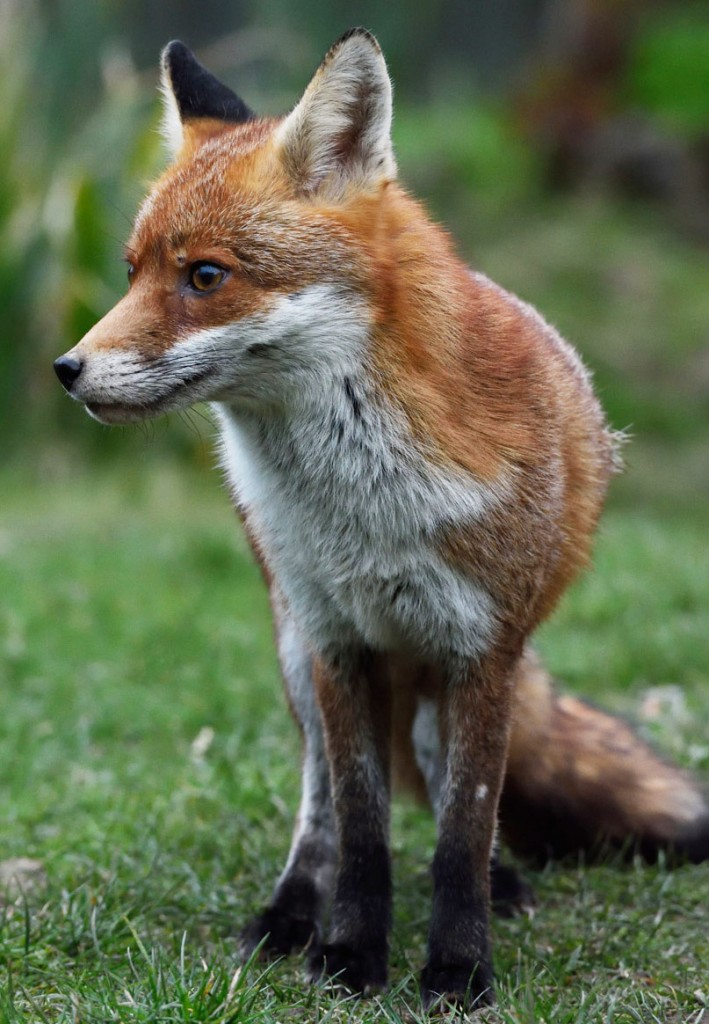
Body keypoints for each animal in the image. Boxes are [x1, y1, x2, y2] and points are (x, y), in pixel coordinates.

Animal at [55, 29, 709, 1007]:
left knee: (445, 784)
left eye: (205, 276)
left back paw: (498, 884)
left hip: (453, 674)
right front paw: (349, 955)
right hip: (296, 651)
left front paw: (459, 968)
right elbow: (362, 832)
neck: (366, 513)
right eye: (130, 272)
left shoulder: (481, 650)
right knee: (320, 803)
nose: (67, 369)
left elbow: (461, 830)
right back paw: (290, 914)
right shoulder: (338, 641)